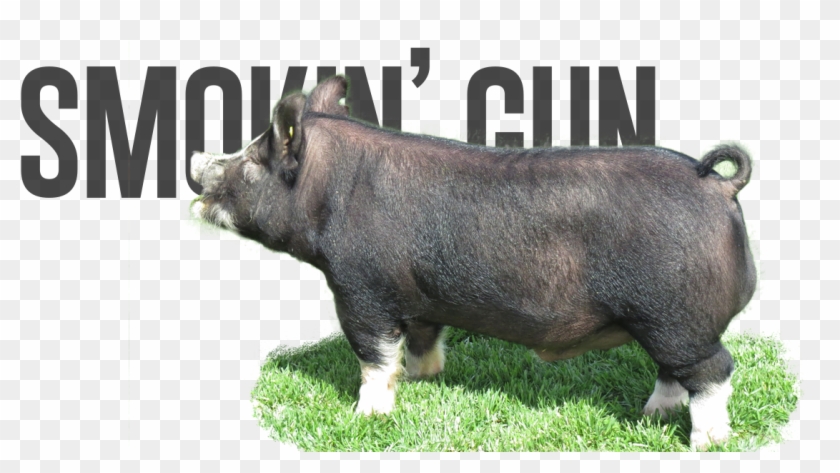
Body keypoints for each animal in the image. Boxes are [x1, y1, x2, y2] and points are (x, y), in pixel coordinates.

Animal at [190, 76, 756, 451]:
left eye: (251, 161)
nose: (196, 158)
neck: (329, 193)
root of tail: (719, 185)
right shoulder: (419, 298)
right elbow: (422, 340)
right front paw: (423, 381)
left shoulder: (358, 289)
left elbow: (373, 356)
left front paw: (366, 417)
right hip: (666, 321)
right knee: (676, 371)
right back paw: (653, 416)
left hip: (676, 315)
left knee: (713, 369)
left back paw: (703, 442)